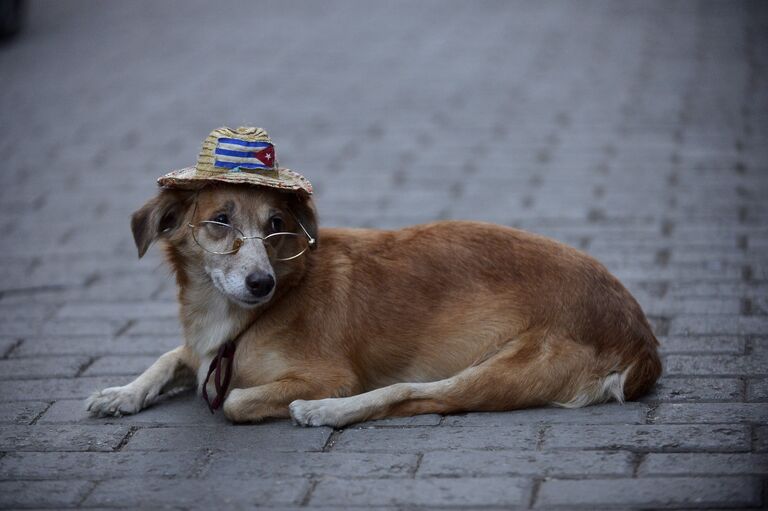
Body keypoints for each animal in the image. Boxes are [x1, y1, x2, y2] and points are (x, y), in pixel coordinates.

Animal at [84, 182, 660, 426]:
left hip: (506, 367)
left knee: (419, 395)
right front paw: (121, 394)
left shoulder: (325, 372)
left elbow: (233, 400)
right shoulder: (200, 352)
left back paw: (326, 412)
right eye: (220, 221)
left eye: (276, 225)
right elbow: (167, 359)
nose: (260, 283)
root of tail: (642, 337)